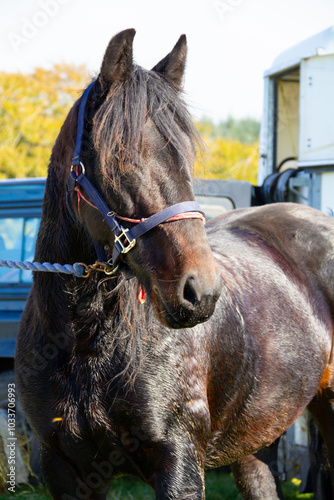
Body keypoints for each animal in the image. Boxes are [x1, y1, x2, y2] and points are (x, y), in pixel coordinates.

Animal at [17, 28, 334, 500]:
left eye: (186, 159)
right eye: (120, 157)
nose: (200, 292)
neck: (85, 340)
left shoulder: (179, 465)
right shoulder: (65, 472)